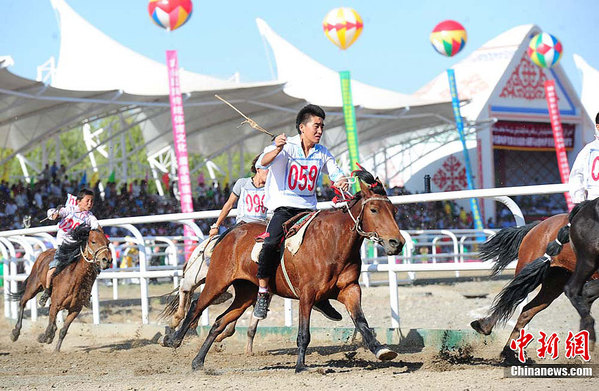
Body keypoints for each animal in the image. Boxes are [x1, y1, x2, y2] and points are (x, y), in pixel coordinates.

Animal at [9, 225, 112, 354]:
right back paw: (15, 333)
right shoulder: (56, 305)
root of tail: (43, 254)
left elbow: (63, 330)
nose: (107, 260)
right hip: (33, 286)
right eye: (93, 241)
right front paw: (44, 337)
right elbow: (49, 327)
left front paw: (56, 350)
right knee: (23, 302)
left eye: (108, 242)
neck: (75, 279)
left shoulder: (75, 309)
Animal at [162, 169, 406, 374]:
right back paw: (174, 339)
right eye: (374, 209)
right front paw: (300, 366)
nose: (397, 243)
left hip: (246, 292)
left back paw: (198, 361)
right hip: (217, 281)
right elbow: (303, 333)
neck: (332, 243)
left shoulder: (350, 289)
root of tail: (230, 233)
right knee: (196, 306)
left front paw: (381, 349)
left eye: (394, 210)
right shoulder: (307, 295)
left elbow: (362, 322)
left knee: (219, 322)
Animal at [474, 213, 599, 362]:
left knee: (527, 310)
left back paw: (508, 351)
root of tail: (539, 225)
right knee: (509, 299)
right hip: (530, 270)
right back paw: (485, 328)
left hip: (554, 282)